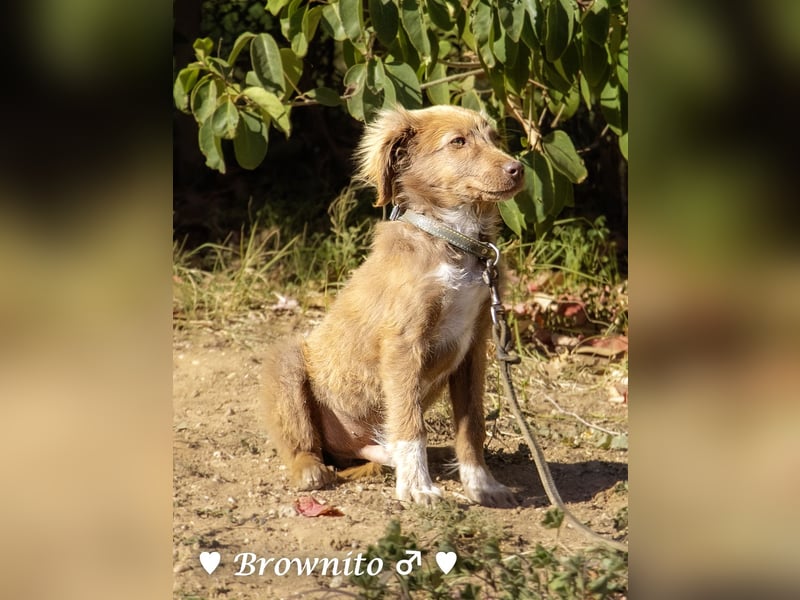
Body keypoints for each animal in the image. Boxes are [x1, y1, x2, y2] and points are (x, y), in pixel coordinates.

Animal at [262, 104, 524, 506]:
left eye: (493, 138)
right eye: (458, 142)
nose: (518, 168)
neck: (451, 239)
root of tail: (356, 449)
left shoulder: (474, 346)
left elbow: (472, 424)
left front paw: (481, 483)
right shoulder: (404, 344)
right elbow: (410, 424)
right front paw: (416, 486)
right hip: (287, 361)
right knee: (304, 444)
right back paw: (310, 470)